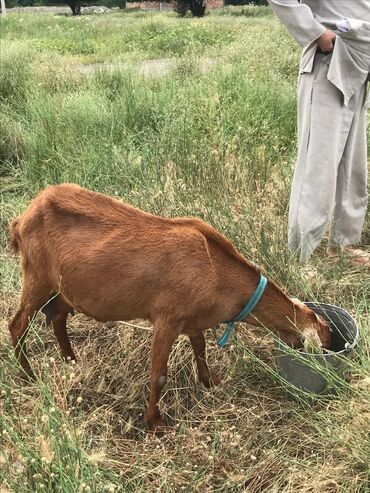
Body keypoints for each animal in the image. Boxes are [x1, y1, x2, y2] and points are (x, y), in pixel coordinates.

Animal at [10, 184, 330, 430]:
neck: (216, 270)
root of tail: (24, 216)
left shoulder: (193, 320)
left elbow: (201, 349)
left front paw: (209, 381)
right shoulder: (167, 320)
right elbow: (159, 375)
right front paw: (155, 423)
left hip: (64, 289)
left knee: (58, 317)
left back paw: (71, 361)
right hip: (37, 277)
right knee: (18, 325)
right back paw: (29, 375)